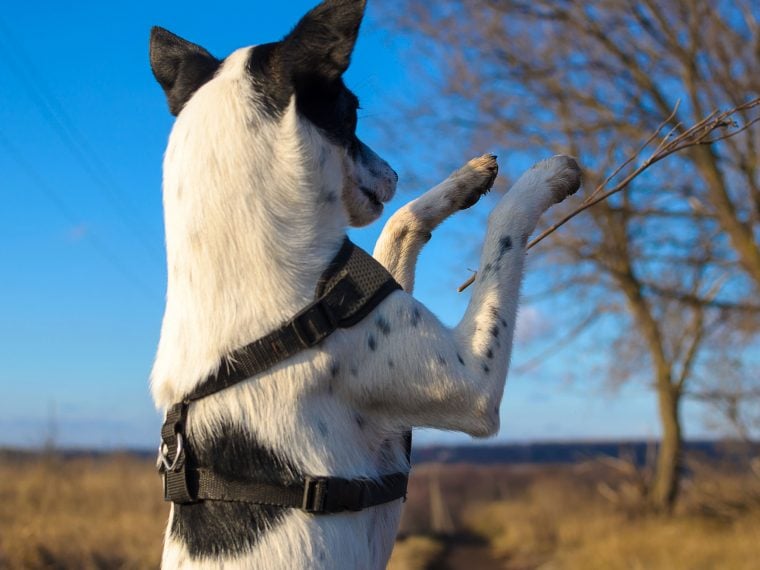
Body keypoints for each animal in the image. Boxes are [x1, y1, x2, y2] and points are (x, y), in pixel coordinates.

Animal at [147, 2, 576, 564]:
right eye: (351, 110)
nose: (394, 172)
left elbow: (400, 224)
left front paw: (464, 181)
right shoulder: (472, 384)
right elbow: (503, 228)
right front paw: (544, 177)